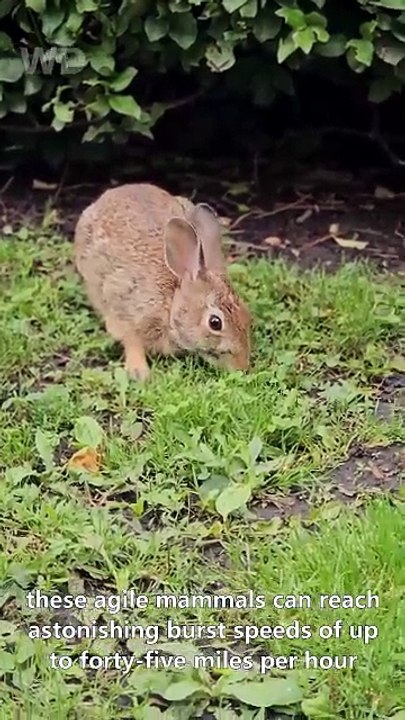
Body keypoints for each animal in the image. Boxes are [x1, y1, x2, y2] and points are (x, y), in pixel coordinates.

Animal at [74, 183, 251, 381]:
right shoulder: (125, 308)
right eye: (215, 323)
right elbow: (131, 341)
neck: (171, 302)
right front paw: (139, 372)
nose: (242, 367)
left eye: (247, 314)